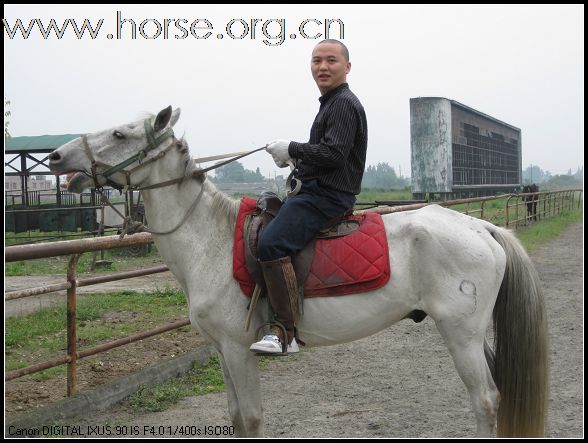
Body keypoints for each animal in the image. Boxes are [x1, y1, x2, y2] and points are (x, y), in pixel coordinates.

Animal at [48, 106, 548, 438]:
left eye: (119, 133)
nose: (55, 157)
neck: (210, 239)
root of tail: (481, 226)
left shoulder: (238, 348)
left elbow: (250, 418)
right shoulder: (222, 350)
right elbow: (235, 417)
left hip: (460, 333)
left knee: (486, 400)